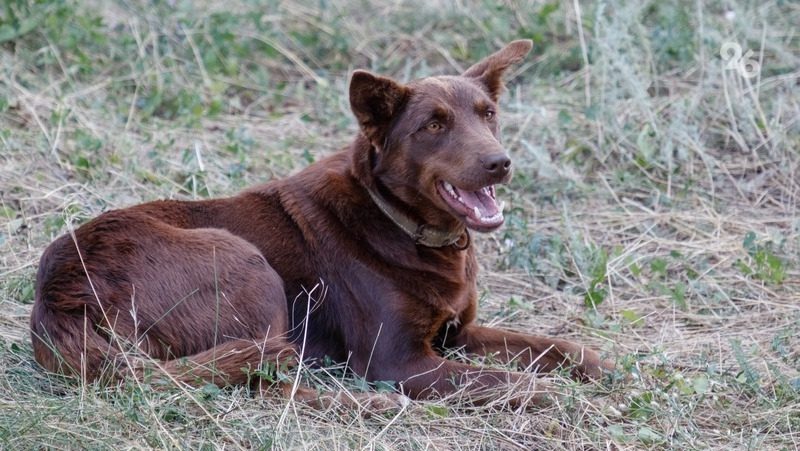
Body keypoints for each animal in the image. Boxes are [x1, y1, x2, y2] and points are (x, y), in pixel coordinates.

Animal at [28, 40, 608, 408]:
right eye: (433, 125)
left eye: (488, 114)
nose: (500, 163)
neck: (402, 225)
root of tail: (59, 298)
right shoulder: (400, 362)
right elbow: (498, 380)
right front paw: (558, 400)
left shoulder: (457, 333)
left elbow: (553, 347)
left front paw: (600, 370)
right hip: (244, 263)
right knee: (264, 384)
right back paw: (373, 408)